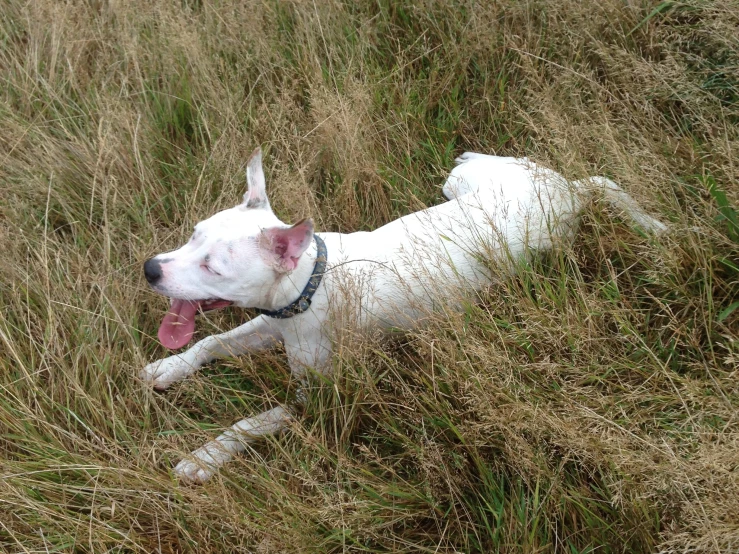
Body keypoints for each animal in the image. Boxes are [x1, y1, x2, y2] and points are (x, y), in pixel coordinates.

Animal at [142, 149, 668, 480]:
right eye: (193, 234)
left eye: (214, 267)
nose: (150, 269)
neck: (315, 276)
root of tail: (569, 192)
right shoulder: (271, 322)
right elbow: (211, 342)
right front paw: (170, 366)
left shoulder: (319, 398)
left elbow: (252, 421)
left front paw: (206, 455)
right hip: (465, 186)